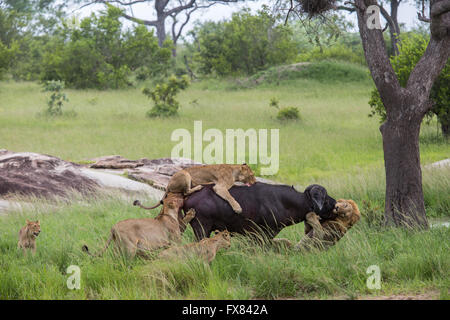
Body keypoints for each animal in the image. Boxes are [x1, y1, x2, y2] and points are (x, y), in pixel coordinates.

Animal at [181, 182, 336, 240]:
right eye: (326, 200)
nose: (335, 204)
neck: (283, 202)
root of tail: (188, 197)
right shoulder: (263, 233)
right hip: (202, 229)